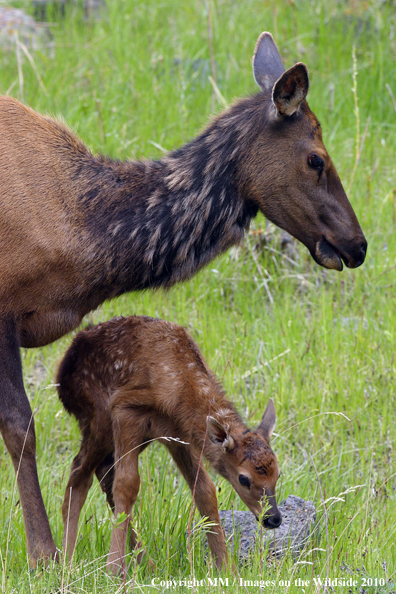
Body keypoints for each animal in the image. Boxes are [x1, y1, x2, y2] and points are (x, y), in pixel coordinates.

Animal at [58, 316, 282, 572]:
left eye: (278, 474)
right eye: (243, 478)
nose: (273, 518)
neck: (179, 388)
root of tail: (60, 375)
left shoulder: (176, 436)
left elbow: (205, 491)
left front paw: (227, 569)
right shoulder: (125, 410)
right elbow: (127, 485)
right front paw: (112, 570)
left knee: (102, 472)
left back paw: (146, 564)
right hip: (98, 416)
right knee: (80, 473)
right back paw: (67, 563)